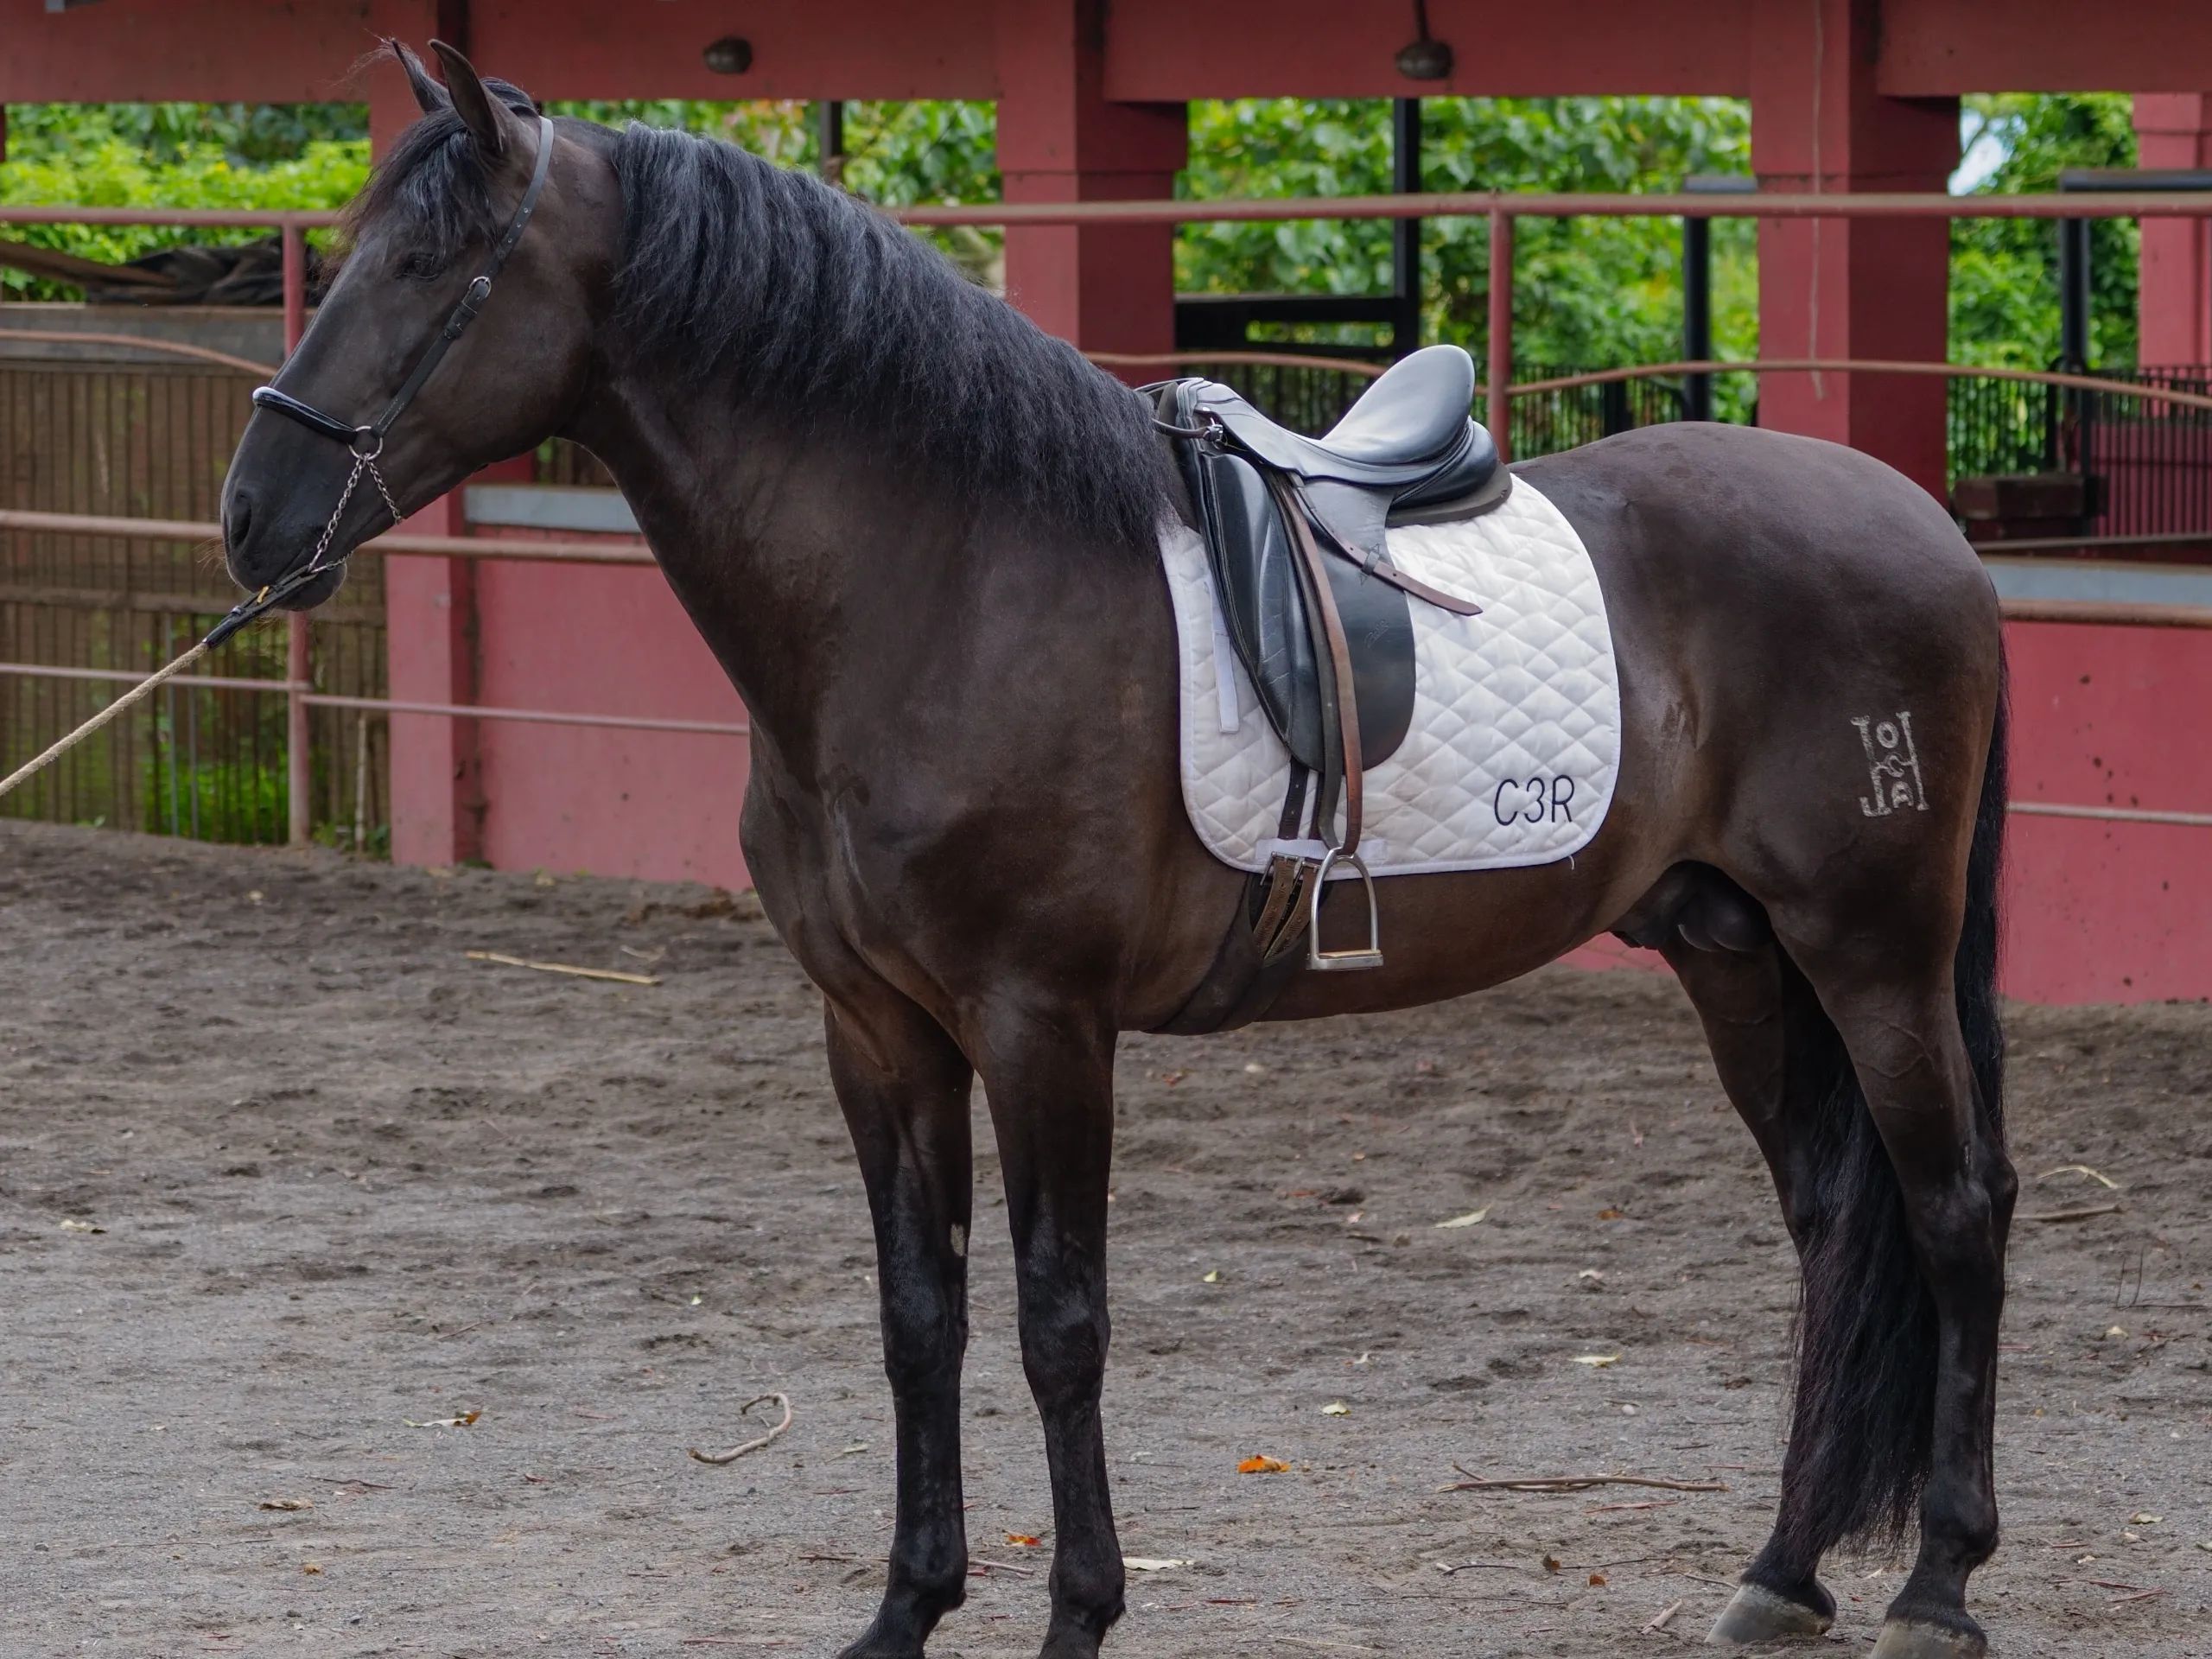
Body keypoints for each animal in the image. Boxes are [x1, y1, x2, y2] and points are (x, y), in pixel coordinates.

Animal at [219, 43, 2013, 1659]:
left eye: (429, 265)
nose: (253, 516)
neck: (944, 587)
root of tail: (1930, 529)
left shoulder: (1043, 1024)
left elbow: (1058, 1325)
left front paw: (1079, 1613)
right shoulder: (877, 1031)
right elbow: (920, 1318)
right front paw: (907, 1609)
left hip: (1872, 948)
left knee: (1954, 1209)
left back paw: (1937, 1585)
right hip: (1732, 949)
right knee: (1835, 1226)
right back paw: (1783, 1574)